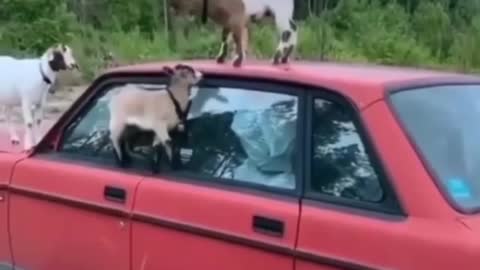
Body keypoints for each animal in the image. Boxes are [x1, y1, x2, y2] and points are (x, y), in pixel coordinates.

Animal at [168, 0, 296, 67]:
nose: (172, 7)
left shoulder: (236, 18)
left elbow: (236, 37)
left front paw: (238, 61)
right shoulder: (228, 21)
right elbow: (224, 37)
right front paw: (220, 58)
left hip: (280, 12)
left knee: (287, 31)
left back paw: (276, 58)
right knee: (294, 28)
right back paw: (284, 58)